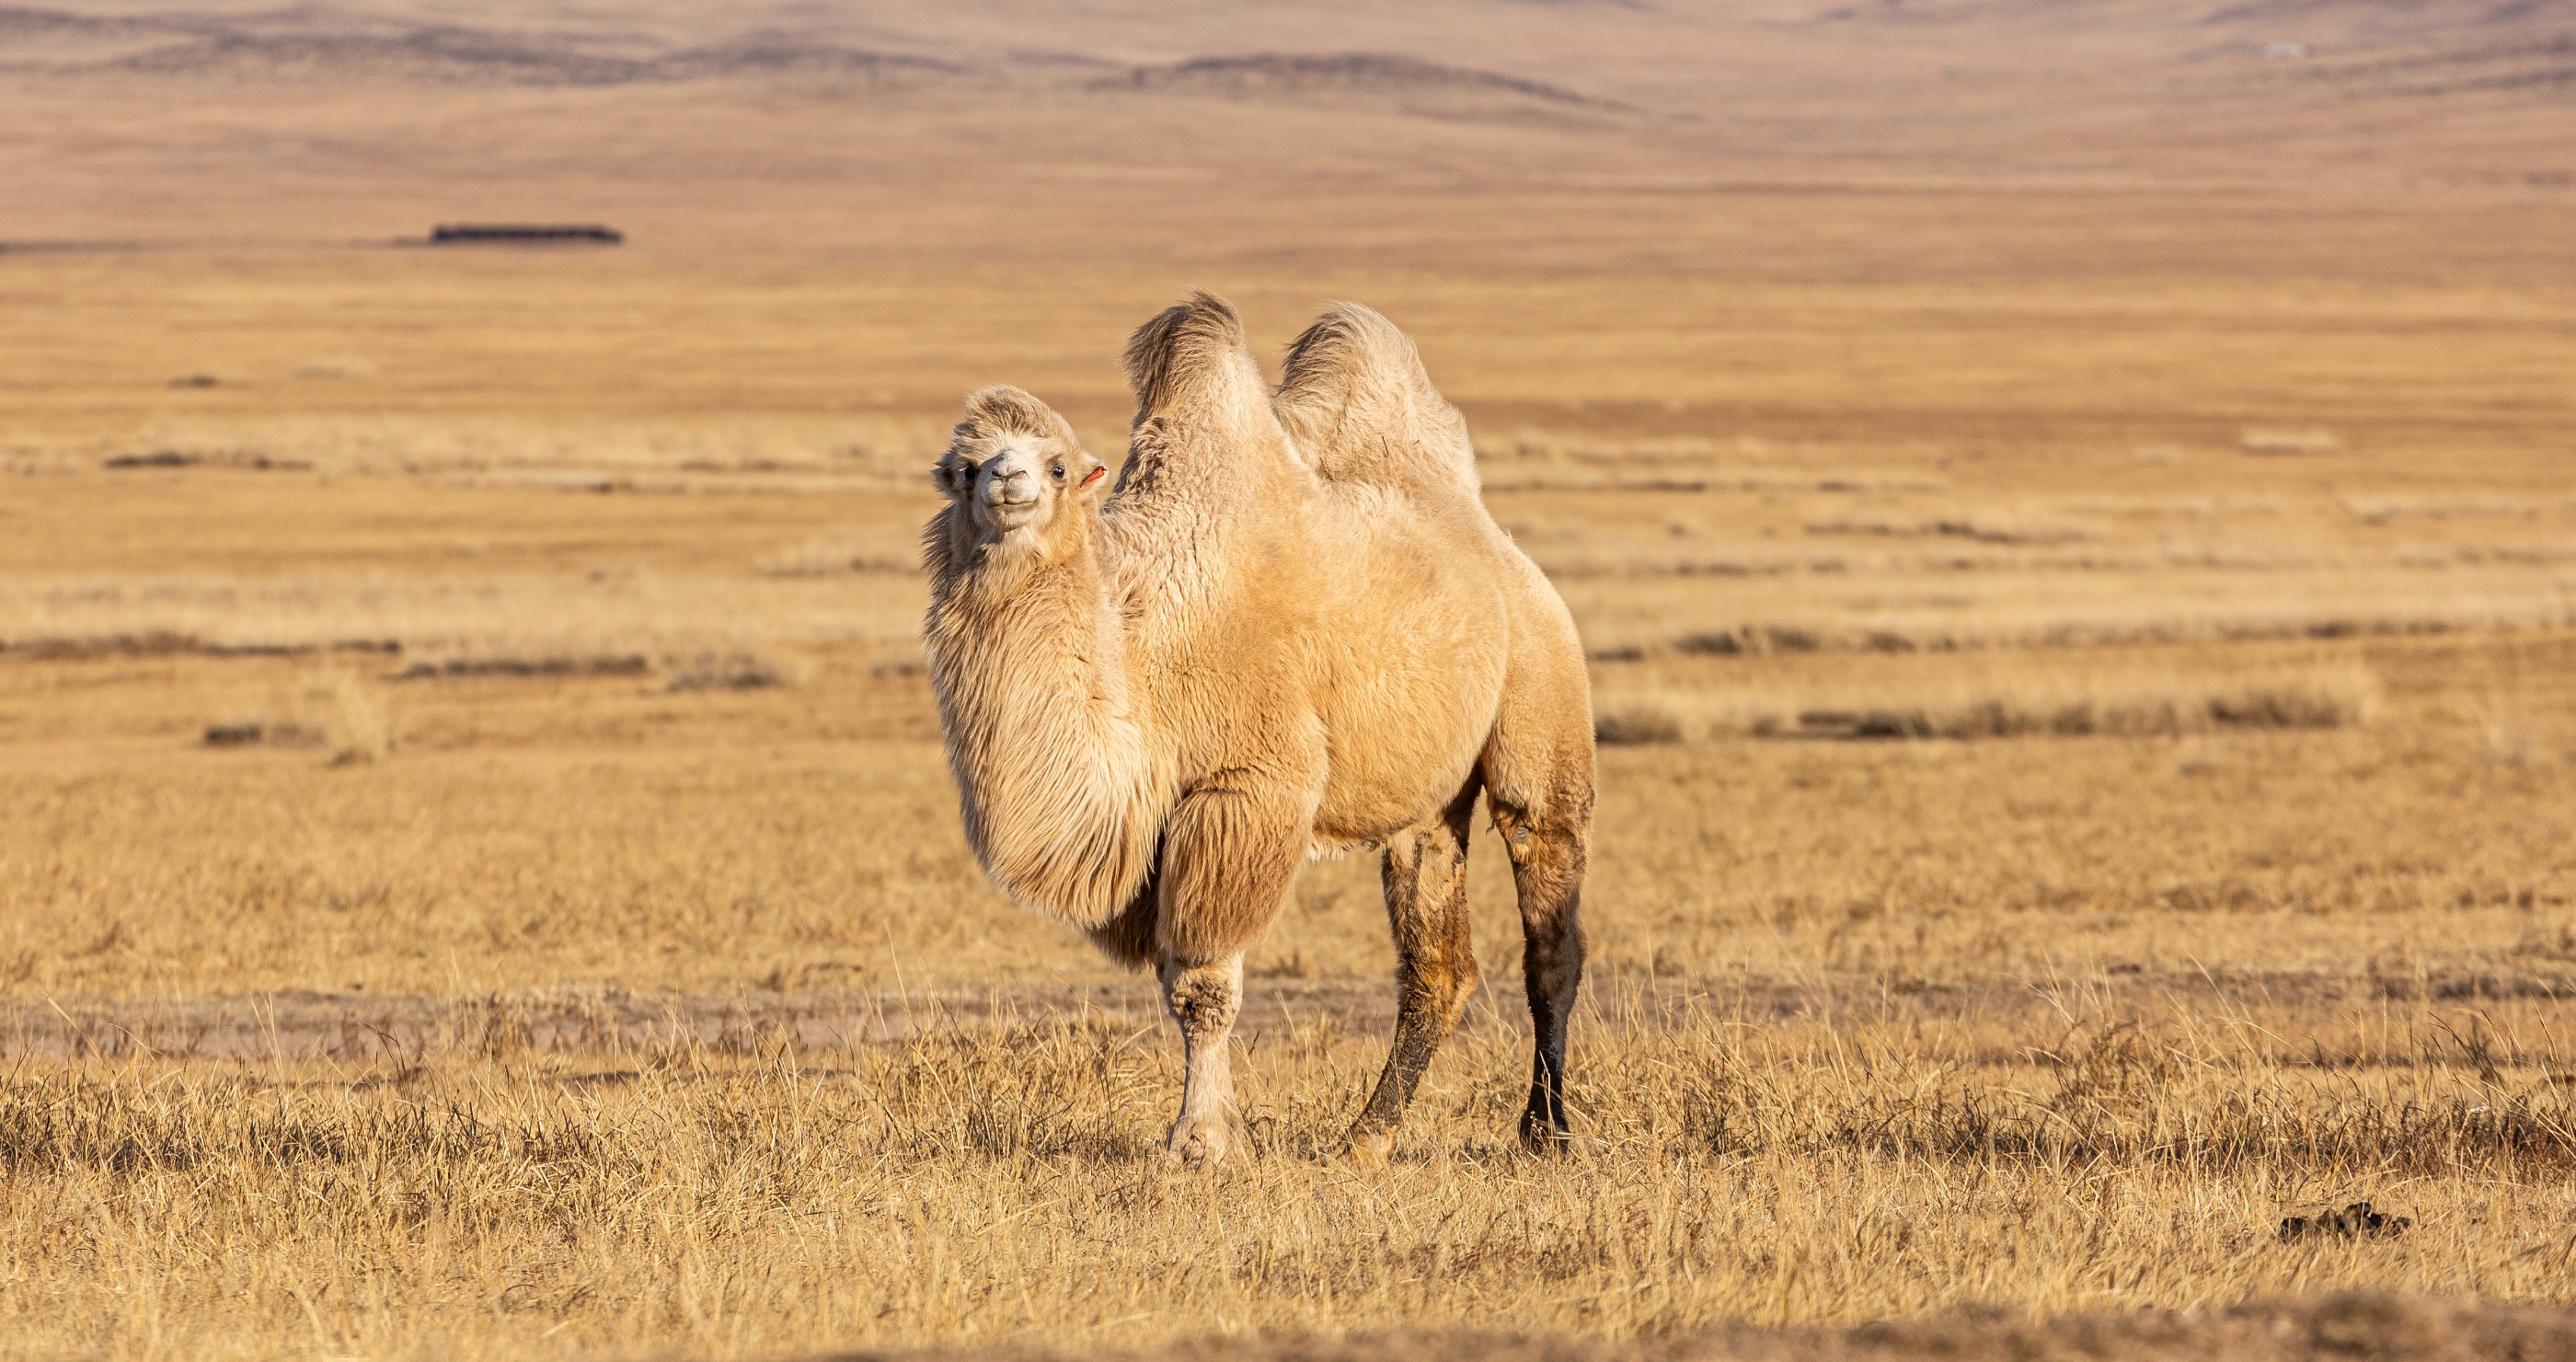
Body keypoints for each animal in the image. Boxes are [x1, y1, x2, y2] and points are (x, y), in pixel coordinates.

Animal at [920, 292, 1593, 1164]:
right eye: (966, 465)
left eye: (1059, 463)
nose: (1008, 480)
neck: (1146, 643)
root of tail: (1502, 552)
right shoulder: (1156, 839)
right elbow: (1177, 980)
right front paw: (1210, 1132)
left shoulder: (1243, 790)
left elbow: (1204, 984)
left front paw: (1200, 1140)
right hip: (1426, 803)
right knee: (1437, 962)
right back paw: (1367, 1136)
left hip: (1542, 697)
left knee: (1550, 929)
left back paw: (1546, 1131)